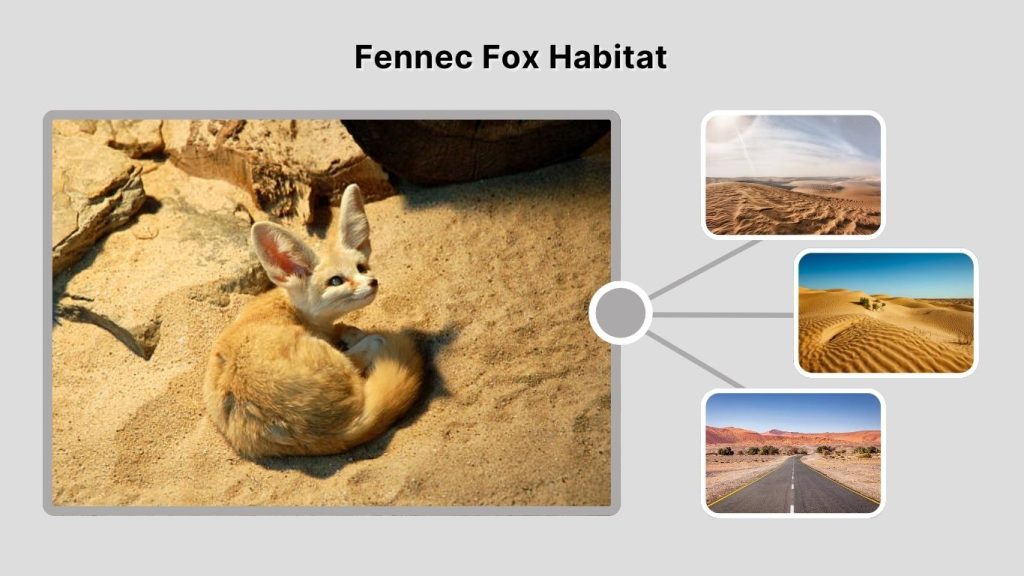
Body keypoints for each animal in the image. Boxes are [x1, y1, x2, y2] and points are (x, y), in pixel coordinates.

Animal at [203, 184, 423, 458]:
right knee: (374, 345)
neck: (291, 307)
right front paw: (354, 334)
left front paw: (347, 331)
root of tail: (341, 430)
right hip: (340, 363)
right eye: (336, 281)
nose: (372, 282)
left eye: (361, 267)